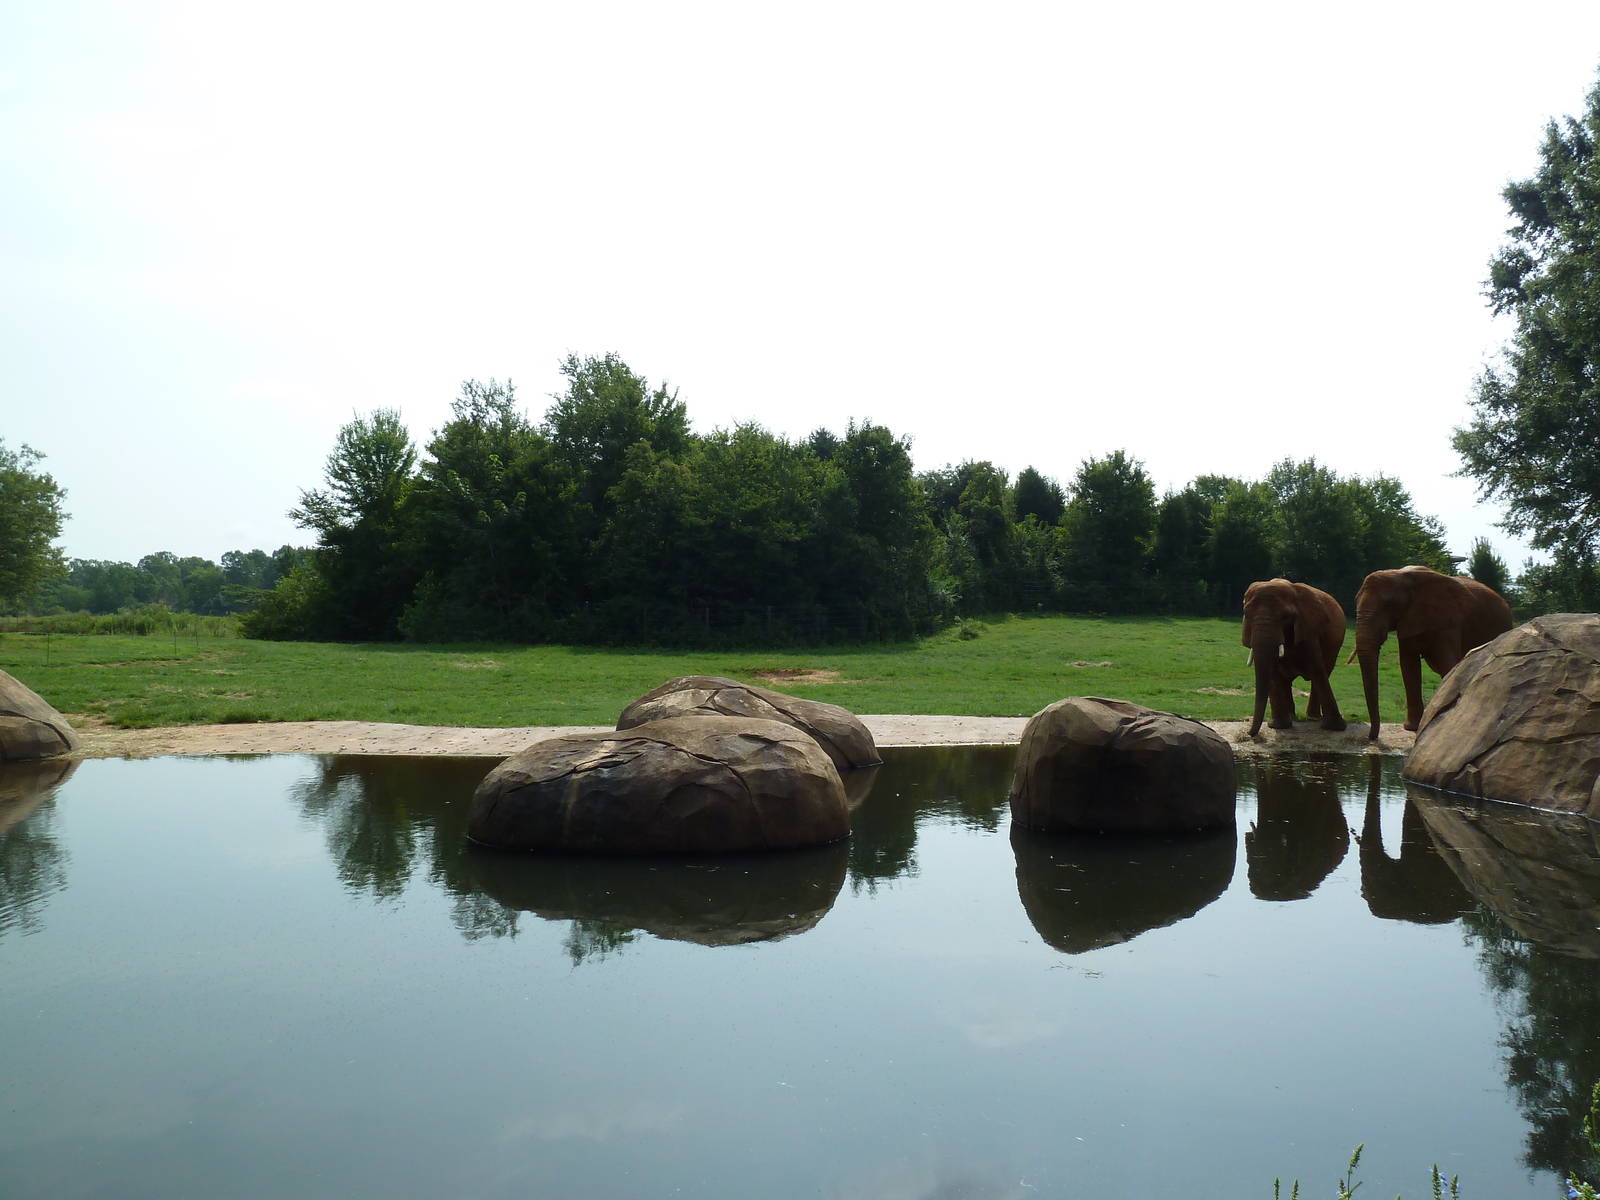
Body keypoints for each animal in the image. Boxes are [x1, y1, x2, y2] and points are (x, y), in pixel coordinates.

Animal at [1241, 578, 1347, 737]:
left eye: (1286, 616)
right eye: (1246, 614)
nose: (1249, 733)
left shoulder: (1309, 629)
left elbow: (1317, 669)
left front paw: (1336, 728)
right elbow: (1273, 673)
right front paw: (1279, 726)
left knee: (1323, 672)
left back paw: (1312, 718)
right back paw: (1292, 716)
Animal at [1349, 566, 1513, 741]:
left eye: (1389, 604)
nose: (1372, 737)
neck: (1404, 577)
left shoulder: (1449, 621)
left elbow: (1449, 664)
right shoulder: (1409, 621)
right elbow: (1408, 665)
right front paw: (1412, 727)